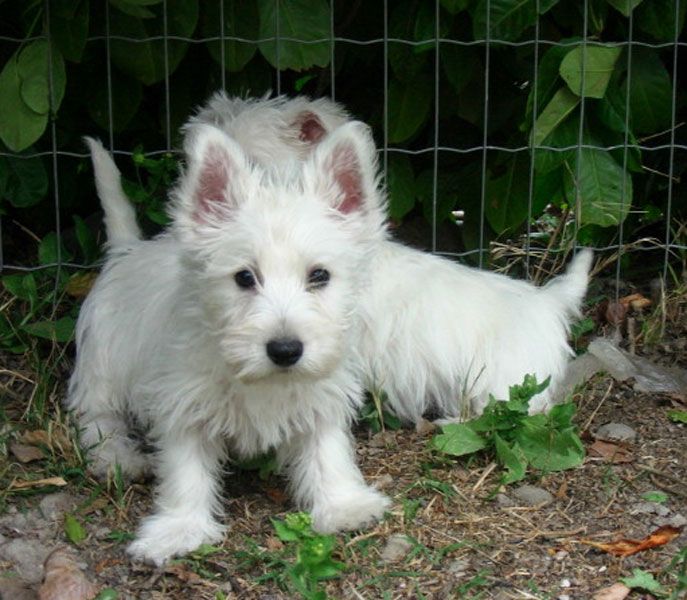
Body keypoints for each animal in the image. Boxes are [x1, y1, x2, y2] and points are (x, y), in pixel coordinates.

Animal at [71, 119, 392, 564]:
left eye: (319, 275)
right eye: (244, 277)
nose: (285, 350)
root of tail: (127, 250)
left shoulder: (320, 395)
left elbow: (327, 451)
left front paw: (344, 504)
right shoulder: (181, 401)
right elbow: (185, 469)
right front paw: (178, 530)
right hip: (102, 363)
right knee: (97, 418)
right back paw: (117, 457)